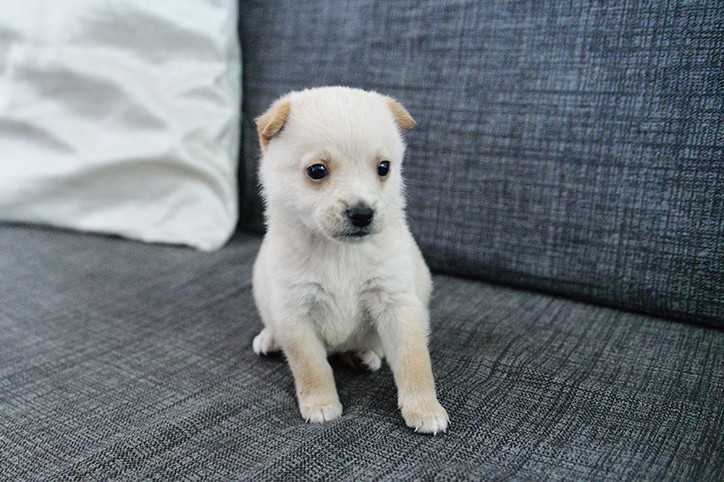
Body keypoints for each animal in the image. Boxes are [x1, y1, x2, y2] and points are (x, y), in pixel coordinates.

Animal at [253, 87, 446, 436]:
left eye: (383, 167)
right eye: (317, 171)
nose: (362, 213)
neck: (337, 252)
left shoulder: (397, 304)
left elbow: (414, 362)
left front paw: (424, 408)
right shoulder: (295, 313)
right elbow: (311, 366)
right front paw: (320, 404)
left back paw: (363, 354)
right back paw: (270, 339)